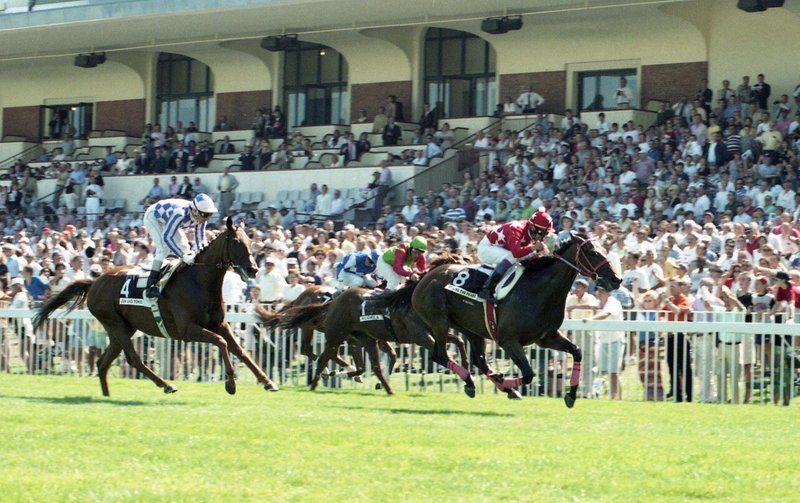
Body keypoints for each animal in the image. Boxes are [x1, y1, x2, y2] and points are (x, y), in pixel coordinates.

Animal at [33, 217, 278, 398]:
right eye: (236, 242)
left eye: (250, 241)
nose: (254, 269)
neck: (199, 281)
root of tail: (94, 282)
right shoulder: (187, 330)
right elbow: (221, 343)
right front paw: (231, 384)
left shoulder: (220, 324)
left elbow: (239, 350)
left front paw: (267, 381)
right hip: (114, 322)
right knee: (133, 358)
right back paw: (166, 384)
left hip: (122, 327)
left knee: (103, 362)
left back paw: (107, 395)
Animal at [372, 231, 620, 406]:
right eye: (593, 252)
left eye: (604, 250)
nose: (616, 280)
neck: (538, 290)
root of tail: (425, 276)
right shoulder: (508, 340)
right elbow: (528, 374)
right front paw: (506, 381)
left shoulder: (546, 338)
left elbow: (577, 351)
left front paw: (571, 395)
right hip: (438, 321)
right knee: (440, 355)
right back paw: (482, 383)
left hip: (472, 328)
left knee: (479, 360)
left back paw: (486, 385)